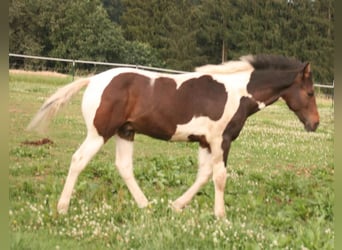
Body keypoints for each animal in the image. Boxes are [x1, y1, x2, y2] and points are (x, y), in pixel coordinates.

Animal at [27, 54, 320, 217]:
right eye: (309, 93)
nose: (315, 124)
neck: (238, 93)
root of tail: (94, 80)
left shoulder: (205, 143)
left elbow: (203, 176)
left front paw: (176, 205)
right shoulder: (221, 141)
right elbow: (220, 177)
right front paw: (221, 216)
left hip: (126, 132)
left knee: (124, 167)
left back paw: (146, 206)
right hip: (100, 133)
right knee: (79, 160)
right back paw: (62, 208)